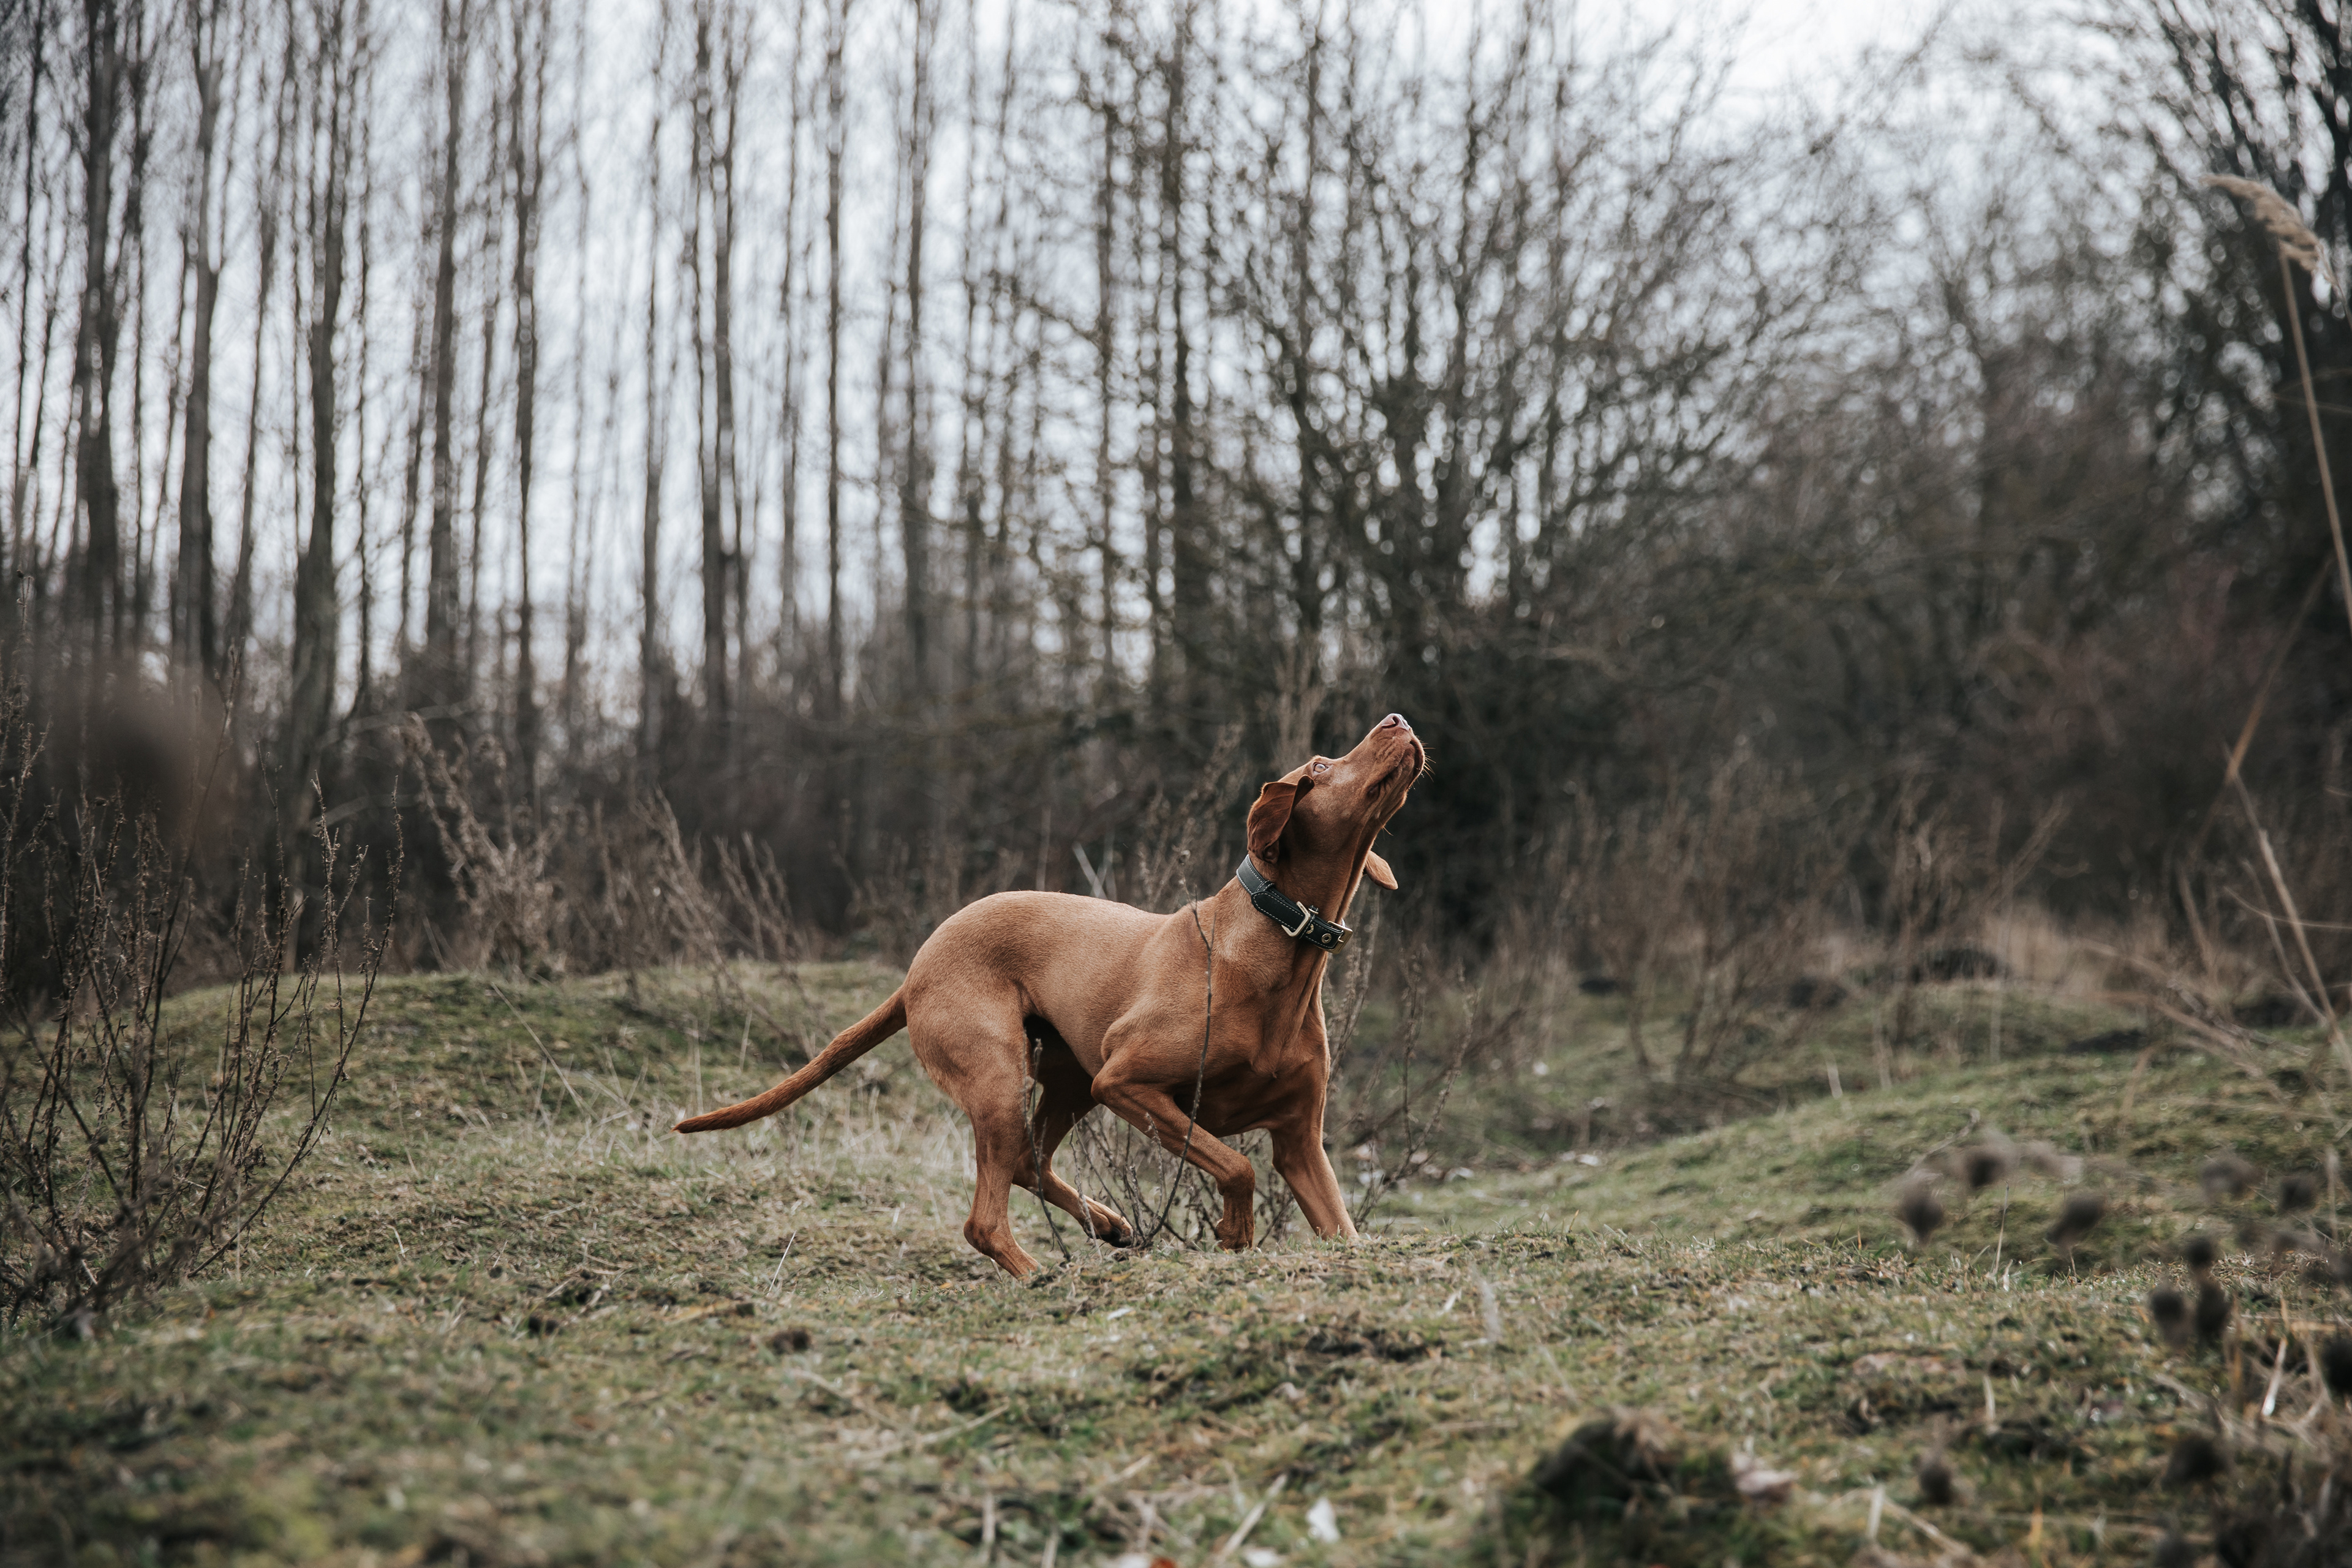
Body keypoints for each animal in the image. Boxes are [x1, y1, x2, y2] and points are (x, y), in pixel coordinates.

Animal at [675, 713, 1427, 1276]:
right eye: (1320, 767)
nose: (1397, 718)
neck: (1282, 946)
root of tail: (917, 966)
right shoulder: (1127, 1082)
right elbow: (1237, 1164)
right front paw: (1236, 1231)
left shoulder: (1302, 1144)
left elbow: (1340, 1226)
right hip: (1004, 1076)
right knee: (984, 1218)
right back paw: (1040, 1274)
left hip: (1064, 1079)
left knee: (1028, 1165)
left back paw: (1109, 1224)